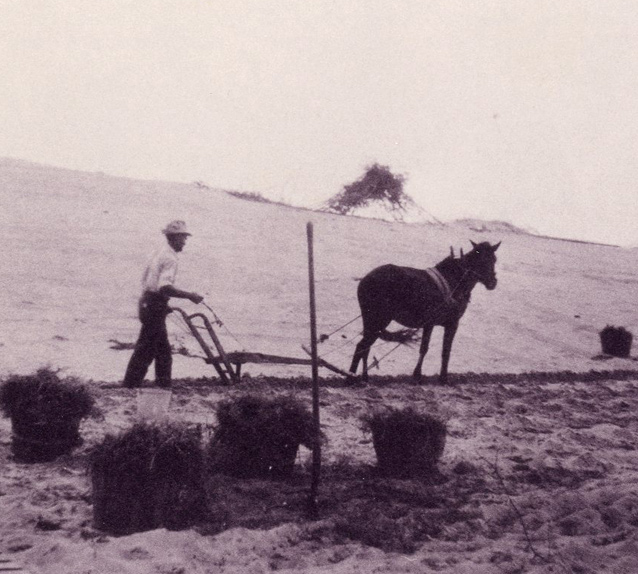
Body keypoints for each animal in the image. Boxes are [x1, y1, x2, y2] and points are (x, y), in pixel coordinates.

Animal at [350, 241, 500, 384]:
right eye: (480, 259)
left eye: (494, 259)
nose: (493, 282)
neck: (454, 282)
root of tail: (365, 279)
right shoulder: (445, 323)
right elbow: (433, 349)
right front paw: (430, 377)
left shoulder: (439, 324)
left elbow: (440, 350)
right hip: (379, 320)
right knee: (362, 346)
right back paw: (351, 377)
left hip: (371, 321)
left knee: (365, 348)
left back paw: (363, 377)